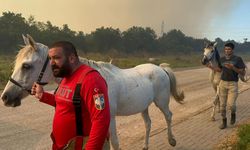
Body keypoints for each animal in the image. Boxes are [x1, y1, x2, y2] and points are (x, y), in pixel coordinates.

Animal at [0, 34, 185, 150]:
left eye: (26, 66)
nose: (5, 97)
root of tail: (160, 68)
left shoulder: (109, 118)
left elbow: (115, 143)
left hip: (161, 102)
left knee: (168, 116)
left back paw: (172, 140)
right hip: (143, 106)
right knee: (148, 124)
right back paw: (145, 146)